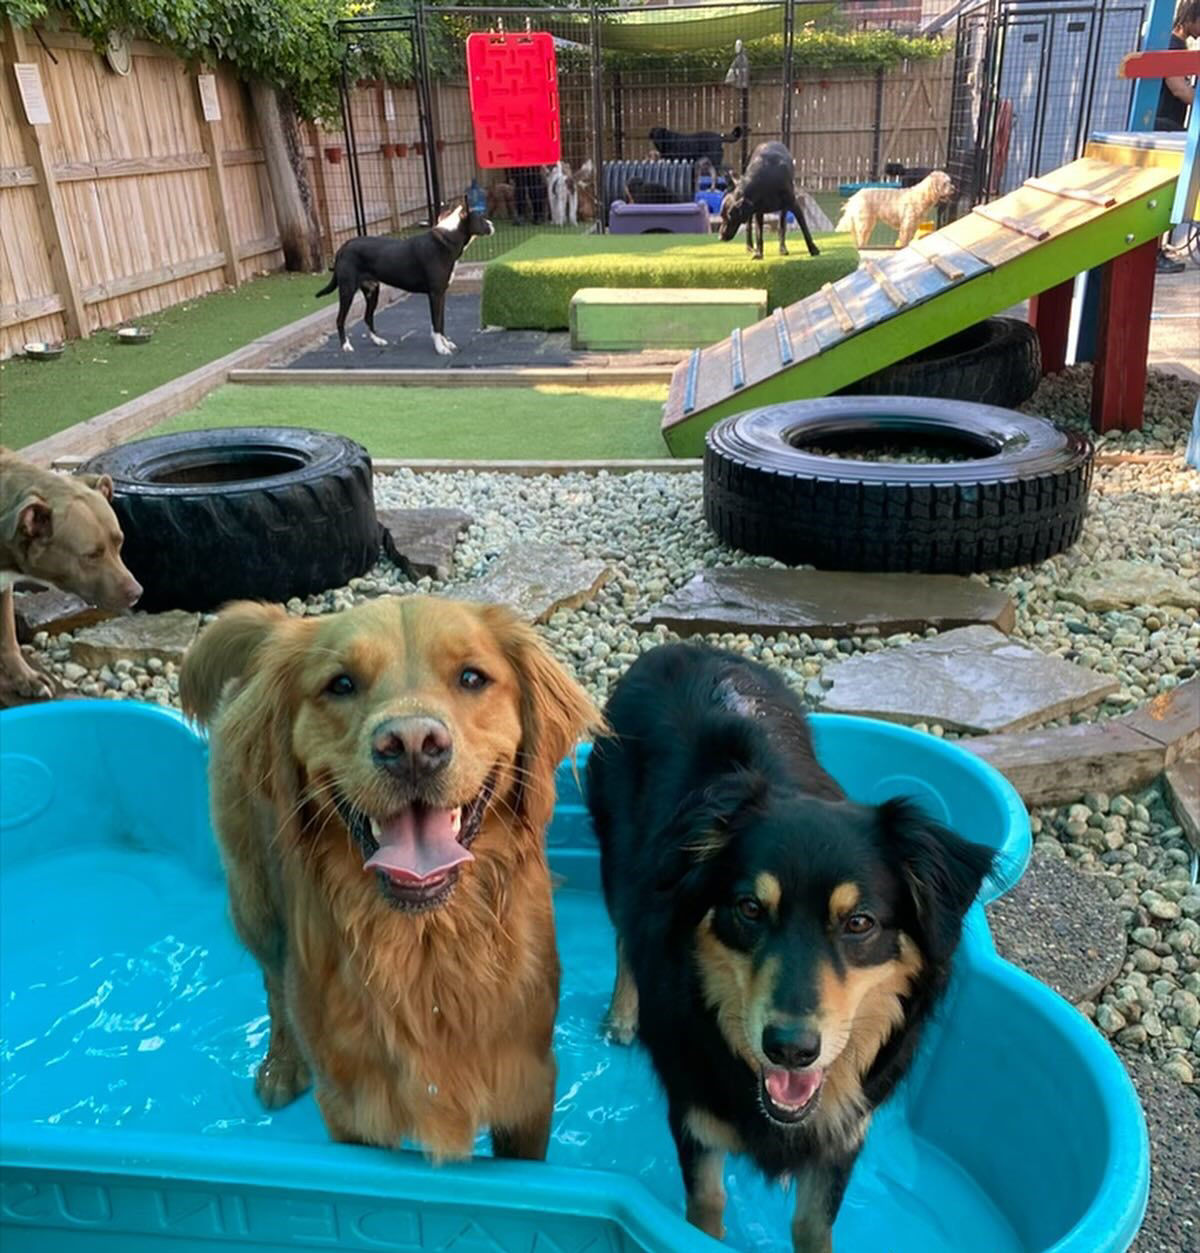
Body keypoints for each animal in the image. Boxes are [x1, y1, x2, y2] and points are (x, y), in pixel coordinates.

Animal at [0, 448, 143, 706]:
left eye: (120, 541)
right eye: (91, 555)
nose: (138, 593)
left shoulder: (4, 585)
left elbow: (8, 636)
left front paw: (26, 679)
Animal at [180, 596, 601, 1162]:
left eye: (472, 677)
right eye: (341, 684)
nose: (413, 745)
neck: (426, 944)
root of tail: (280, 624)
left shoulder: (528, 1089)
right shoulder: (354, 1108)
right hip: (255, 903)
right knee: (273, 982)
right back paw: (282, 1064)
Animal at [316, 200, 496, 358]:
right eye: (480, 217)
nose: (492, 225)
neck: (447, 238)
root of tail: (344, 247)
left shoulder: (441, 294)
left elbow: (441, 322)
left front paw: (445, 343)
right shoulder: (435, 294)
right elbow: (436, 324)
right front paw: (441, 348)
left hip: (372, 291)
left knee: (368, 316)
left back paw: (377, 340)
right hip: (347, 291)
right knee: (340, 320)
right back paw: (345, 345)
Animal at [588, 646, 997, 1253]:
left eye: (859, 923)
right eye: (749, 909)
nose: (790, 1048)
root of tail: (679, 649)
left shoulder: (845, 1135)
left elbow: (813, 1224)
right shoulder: (695, 1118)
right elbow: (706, 1204)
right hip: (617, 855)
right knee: (621, 933)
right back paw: (622, 1013)